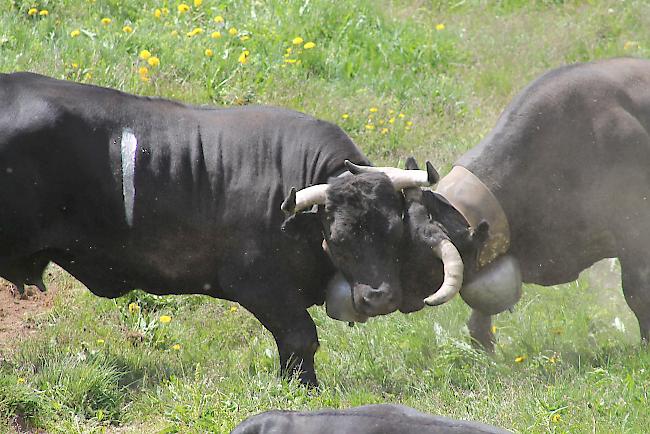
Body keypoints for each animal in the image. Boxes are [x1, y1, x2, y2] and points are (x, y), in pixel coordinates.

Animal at [0, 72, 448, 386]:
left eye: (394, 229)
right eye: (336, 239)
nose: (379, 297)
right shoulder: (258, 284)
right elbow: (301, 336)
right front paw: (305, 390)